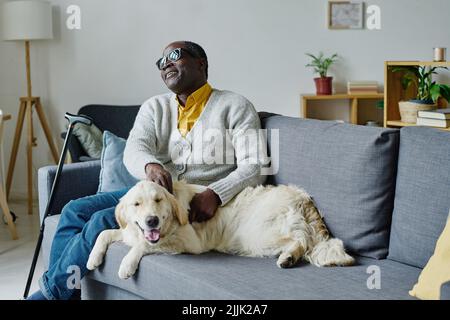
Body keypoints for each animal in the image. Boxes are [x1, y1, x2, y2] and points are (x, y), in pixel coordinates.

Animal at [87, 181, 356, 278]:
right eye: (137, 204)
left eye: (158, 200)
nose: (152, 221)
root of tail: (303, 197)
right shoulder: (129, 231)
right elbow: (105, 233)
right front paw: (93, 258)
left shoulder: (189, 242)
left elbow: (143, 244)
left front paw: (126, 266)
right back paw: (288, 257)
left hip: (257, 233)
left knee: (304, 239)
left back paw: (289, 257)